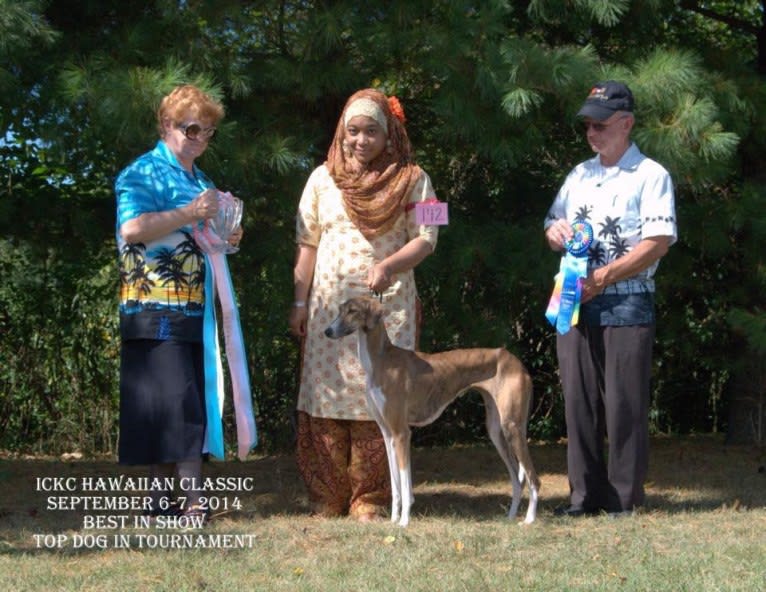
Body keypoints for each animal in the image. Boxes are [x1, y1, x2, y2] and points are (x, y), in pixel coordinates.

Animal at [324, 296, 540, 528]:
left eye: (352, 311)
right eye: (340, 310)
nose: (327, 331)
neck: (382, 360)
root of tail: (517, 362)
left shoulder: (402, 433)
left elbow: (405, 484)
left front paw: (403, 522)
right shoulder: (387, 434)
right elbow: (396, 486)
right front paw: (393, 519)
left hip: (512, 427)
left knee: (533, 479)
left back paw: (529, 520)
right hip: (495, 429)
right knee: (517, 480)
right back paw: (510, 517)